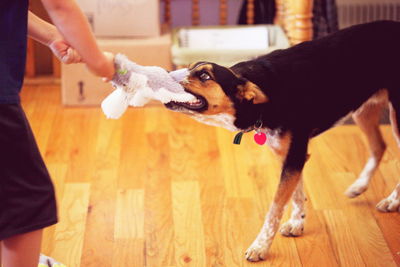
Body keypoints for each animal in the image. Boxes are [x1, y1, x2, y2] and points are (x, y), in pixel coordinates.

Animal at [164, 20, 400, 262]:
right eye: (189, 68)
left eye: (205, 76)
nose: (167, 73)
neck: (262, 98)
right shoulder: (287, 155)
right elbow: (296, 195)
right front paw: (297, 223)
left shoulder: (294, 155)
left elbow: (275, 208)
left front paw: (260, 246)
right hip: (363, 111)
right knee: (379, 146)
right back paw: (359, 186)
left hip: (395, 115)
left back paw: (392, 201)